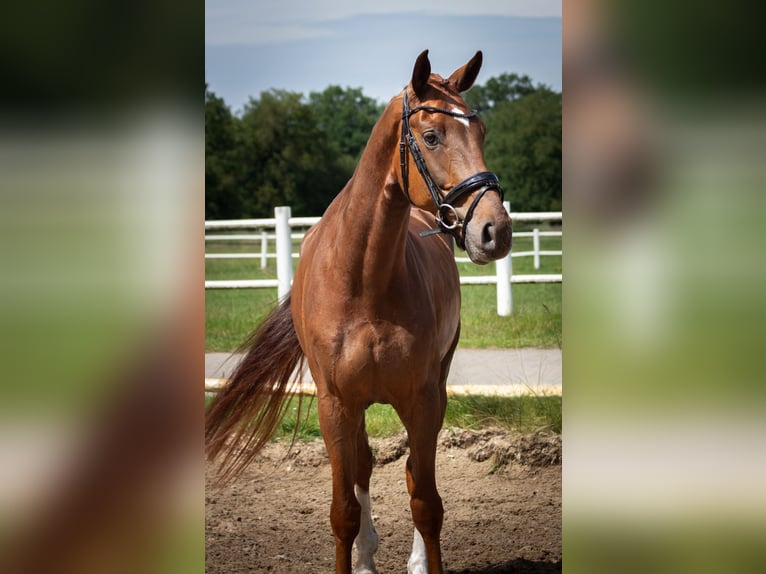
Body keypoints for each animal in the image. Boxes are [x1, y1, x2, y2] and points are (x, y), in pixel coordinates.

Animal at [206, 50, 512, 574]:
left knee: (409, 472)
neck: (363, 283)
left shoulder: (422, 399)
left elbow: (425, 501)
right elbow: (343, 510)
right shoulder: (334, 405)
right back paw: (368, 557)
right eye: (432, 136)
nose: (496, 230)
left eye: (483, 132)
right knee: (365, 465)